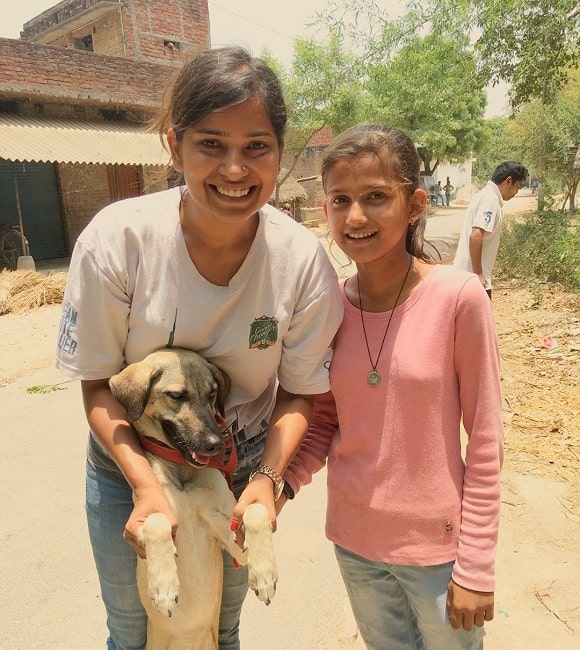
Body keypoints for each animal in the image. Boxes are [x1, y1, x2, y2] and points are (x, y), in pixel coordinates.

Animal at [112, 346, 280, 644]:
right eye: (177, 395)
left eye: (212, 394)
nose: (216, 444)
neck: (183, 472)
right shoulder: (146, 520)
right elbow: (156, 521)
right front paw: (164, 585)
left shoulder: (233, 541)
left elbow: (255, 509)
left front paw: (264, 573)